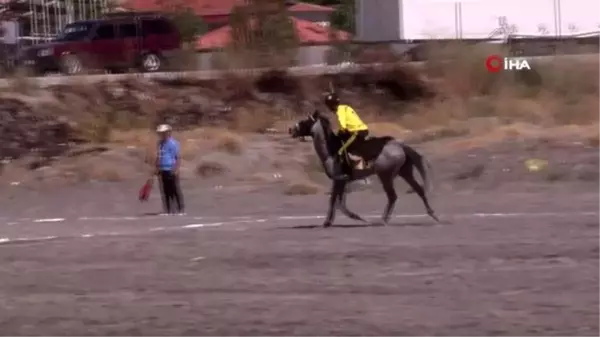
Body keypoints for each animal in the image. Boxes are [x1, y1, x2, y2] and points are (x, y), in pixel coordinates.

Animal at [288, 110, 438, 226]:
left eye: (304, 121)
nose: (290, 130)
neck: (331, 150)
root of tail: (399, 145)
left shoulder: (339, 180)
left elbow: (337, 202)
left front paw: (355, 218)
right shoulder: (342, 181)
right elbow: (338, 202)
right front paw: (329, 222)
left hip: (385, 175)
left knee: (392, 196)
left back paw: (382, 220)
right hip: (405, 172)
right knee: (419, 190)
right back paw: (433, 214)